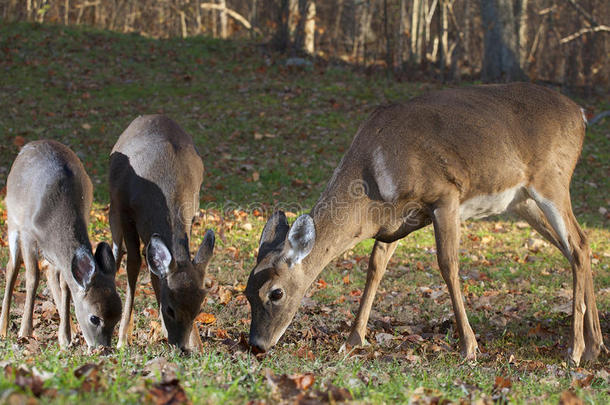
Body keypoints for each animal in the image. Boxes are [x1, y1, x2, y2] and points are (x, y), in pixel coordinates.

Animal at [0, 140, 121, 348]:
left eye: (118, 317)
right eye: (94, 318)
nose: (103, 348)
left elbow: (66, 284)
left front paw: (65, 338)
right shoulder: (27, 232)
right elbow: (32, 277)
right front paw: (25, 331)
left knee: (50, 272)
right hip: (12, 220)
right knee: (12, 266)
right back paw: (3, 329)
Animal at [109, 113, 214, 350]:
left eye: (198, 310)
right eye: (170, 309)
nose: (182, 347)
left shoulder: (192, 213)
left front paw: (197, 343)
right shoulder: (125, 209)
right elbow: (133, 264)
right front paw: (122, 338)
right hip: (113, 211)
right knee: (117, 253)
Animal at [245, 83, 604, 366]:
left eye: (275, 293)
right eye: (246, 293)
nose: (257, 345)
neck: (372, 188)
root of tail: (581, 115)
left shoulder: (445, 196)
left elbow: (448, 265)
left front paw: (469, 347)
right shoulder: (392, 223)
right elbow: (375, 268)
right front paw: (352, 341)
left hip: (552, 180)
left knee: (578, 243)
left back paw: (575, 350)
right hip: (523, 201)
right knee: (579, 247)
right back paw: (594, 347)